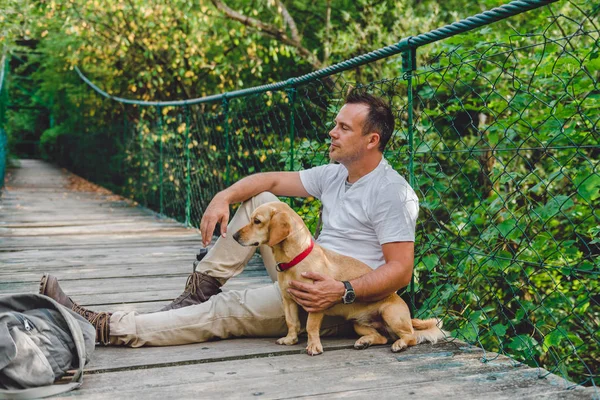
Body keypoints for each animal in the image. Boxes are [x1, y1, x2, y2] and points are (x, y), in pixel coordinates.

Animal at [233, 202, 446, 354]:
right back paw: (365, 341)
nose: (234, 236)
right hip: (358, 324)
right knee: (383, 338)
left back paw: (400, 344)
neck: (295, 259)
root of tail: (409, 318)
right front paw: (290, 339)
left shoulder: (316, 304)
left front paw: (314, 346)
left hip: (390, 314)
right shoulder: (289, 301)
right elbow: (292, 322)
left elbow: (310, 326)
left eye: (257, 221)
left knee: (411, 336)